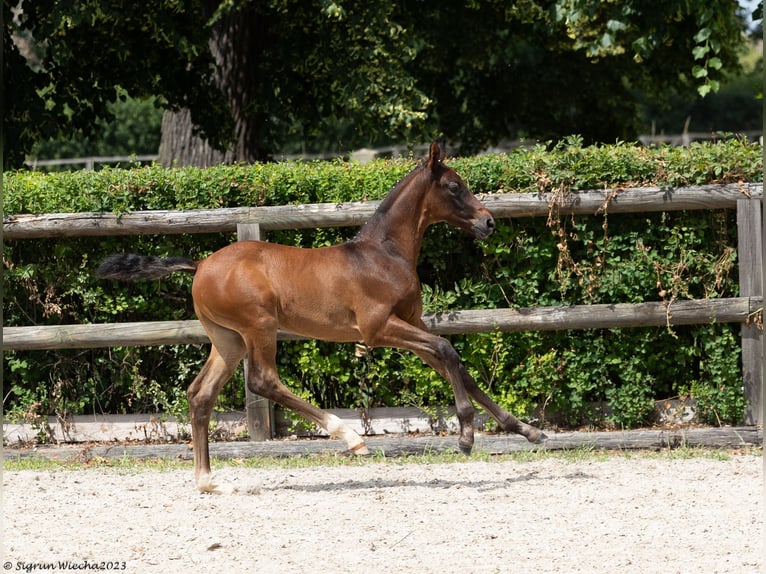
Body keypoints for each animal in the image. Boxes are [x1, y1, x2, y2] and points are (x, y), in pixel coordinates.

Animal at [99, 142, 544, 492]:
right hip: (259, 328)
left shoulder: (411, 324)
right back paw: (350, 437)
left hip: (227, 339)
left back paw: (207, 480)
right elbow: (448, 350)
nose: (488, 222)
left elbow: (457, 366)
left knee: (200, 394)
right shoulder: (378, 329)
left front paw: (528, 430)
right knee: (263, 381)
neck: (383, 254)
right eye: (454, 186)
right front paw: (466, 435)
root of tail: (200, 265)